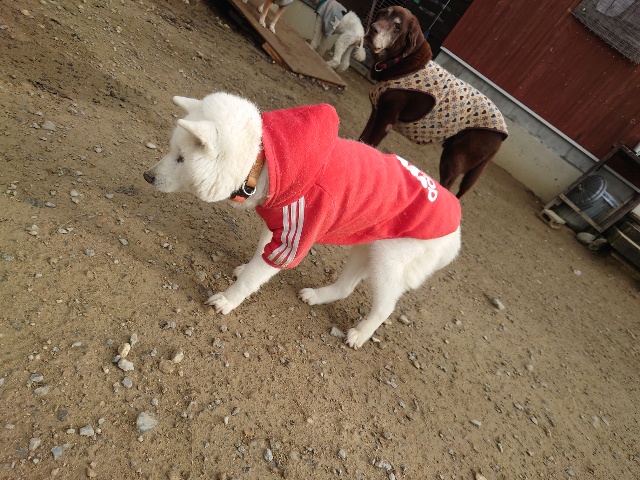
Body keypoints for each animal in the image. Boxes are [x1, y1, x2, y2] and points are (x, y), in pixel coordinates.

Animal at [143, 92, 461, 349]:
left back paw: (360, 334)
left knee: (384, 308)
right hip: (367, 245)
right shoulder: (277, 226)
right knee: (346, 287)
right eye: (172, 151)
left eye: (181, 158)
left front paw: (228, 299)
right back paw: (318, 296)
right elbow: (259, 257)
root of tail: (456, 236)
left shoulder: (294, 238)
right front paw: (246, 267)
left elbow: (253, 278)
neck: (263, 162)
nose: (147, 176)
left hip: (387, 262)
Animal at [360, 6, 508, 198]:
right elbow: (362, 141)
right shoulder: (376, 113)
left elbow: (370, 145)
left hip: (454, 158)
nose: (373, 28)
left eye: (398, 26)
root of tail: (503, 132)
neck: (397, 62)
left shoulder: (386, 121)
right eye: (383, 13)